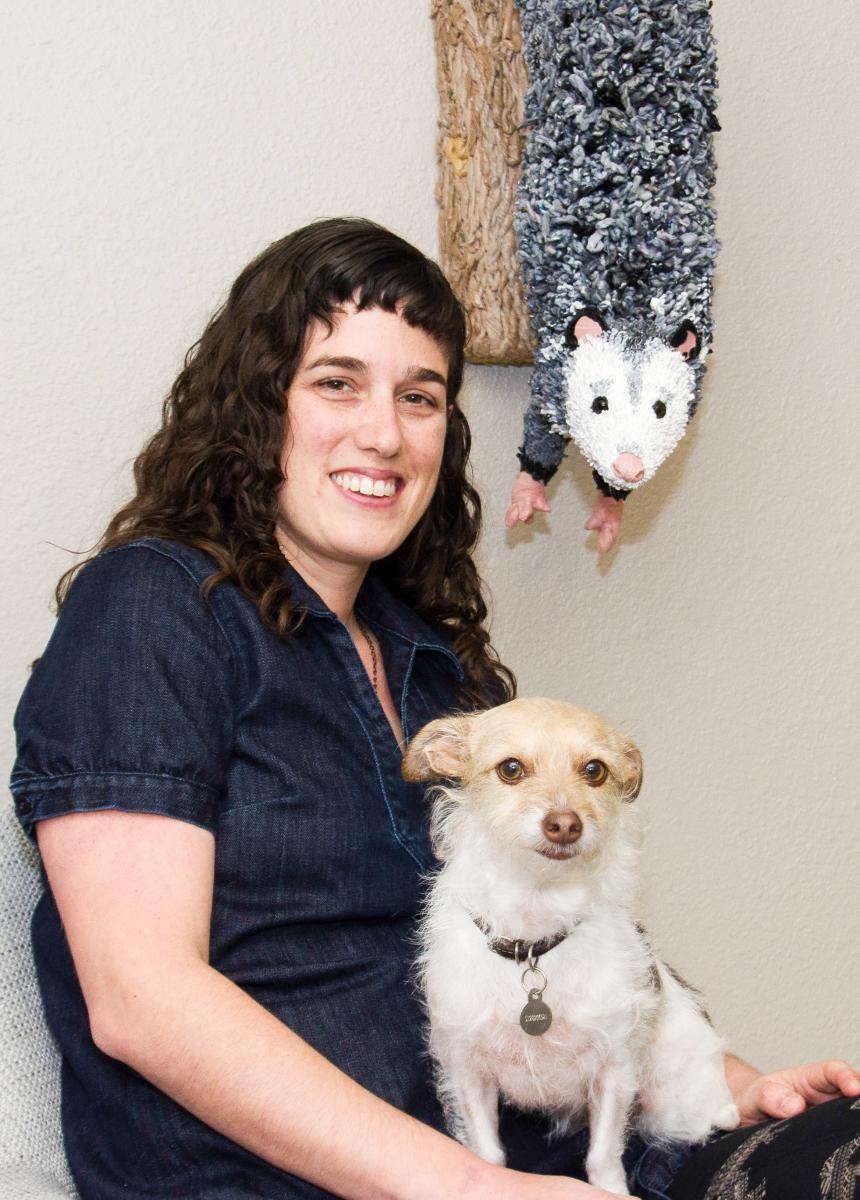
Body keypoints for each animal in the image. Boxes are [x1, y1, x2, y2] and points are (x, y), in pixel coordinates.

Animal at [403, 700, 738, 1195]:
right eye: (511, 768)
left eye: (595, 770)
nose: (564, 825)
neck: (532, 944)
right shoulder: (467, 1071)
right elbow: (487, 1153)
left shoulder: (614, 1070)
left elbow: (603, 1155)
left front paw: (612, 1192)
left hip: (673, 1105)